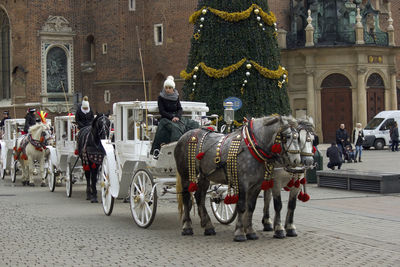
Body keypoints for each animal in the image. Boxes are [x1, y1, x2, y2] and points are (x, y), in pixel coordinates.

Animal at [175, 115, 300, 243]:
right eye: (287, 136)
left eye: (298, 137)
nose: (297, 161)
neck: (252, 146)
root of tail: (185, 135)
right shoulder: (242, 183)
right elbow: (241, 206)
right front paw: (240, 232)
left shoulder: (256, 186)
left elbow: (251, 207)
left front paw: (250, 231)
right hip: (186, 175)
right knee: (186, 198)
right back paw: (187, 227)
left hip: (204, 176)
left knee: (199, 197)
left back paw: (208, 226)